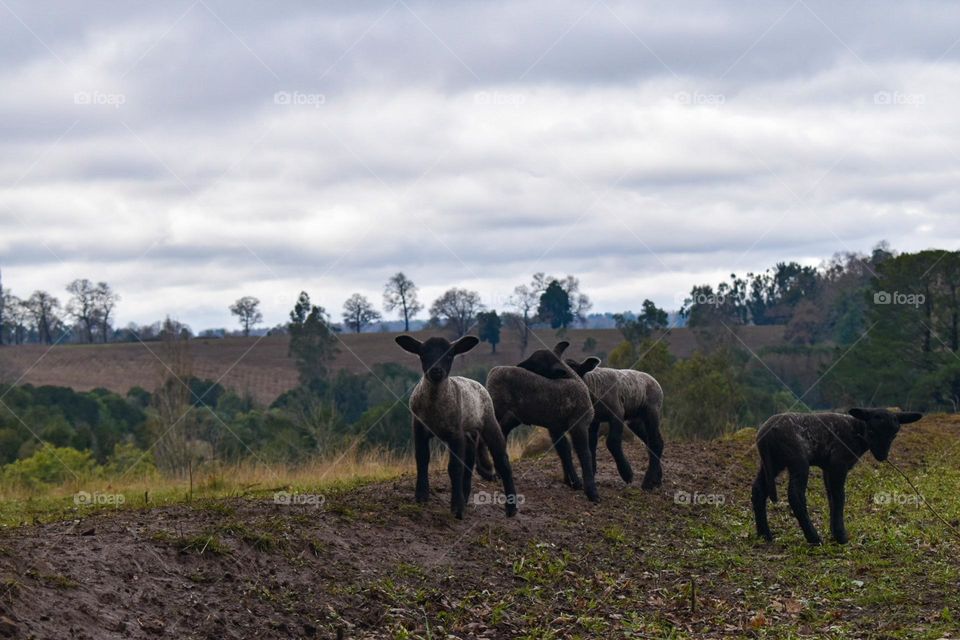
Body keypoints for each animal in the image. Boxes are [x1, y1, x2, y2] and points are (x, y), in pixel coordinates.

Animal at [395, 334, 518, 519]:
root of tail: (477, 383)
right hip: (470, 435)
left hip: (488, 422)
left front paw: (456, 508)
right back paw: (465, 497)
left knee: (502, 461)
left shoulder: (455, 433)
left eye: (449, 355)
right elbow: (422, 458)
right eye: (422, 355)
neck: (434, 406)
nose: (436, 371)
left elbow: (454, 467)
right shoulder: (419, 427)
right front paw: (421, 496)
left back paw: (511, 508)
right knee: (469, 463)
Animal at [486, 341, 602, 502]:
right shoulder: (576, 426)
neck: (575, 380)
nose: (519, 365)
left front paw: (572, 481)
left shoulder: (559, 426)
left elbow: (565, 450)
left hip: (510, 416)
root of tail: (494, 371)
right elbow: (583, 454)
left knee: (500, 434)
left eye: (537, 364)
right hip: (497, 409)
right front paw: (590, 491)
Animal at [563, 358, 665, 490]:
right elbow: (591, 445)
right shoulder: (594, 420)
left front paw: (627, 474)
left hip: (652, 411)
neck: (593, 386)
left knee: (655, 442)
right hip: (635, 420)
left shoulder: (617, 413)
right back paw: (657, 479)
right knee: (651, 441)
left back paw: (647, 483)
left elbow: (612, 442)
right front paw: (591, 474)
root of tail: (655, 381)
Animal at [752, 408, 923, 544]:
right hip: (797, 459)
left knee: (758, 489)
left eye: (894, 435)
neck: (856, 430)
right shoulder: (838, 463)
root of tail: (764, 435)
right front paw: (841, 537)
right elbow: (840, 497)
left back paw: (764, 535)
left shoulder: (828, 467)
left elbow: (831, 498)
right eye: (872, 432)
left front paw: (834, 533)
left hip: (773, 462)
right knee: (795, 495)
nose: (882, 456)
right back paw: (813, 538)